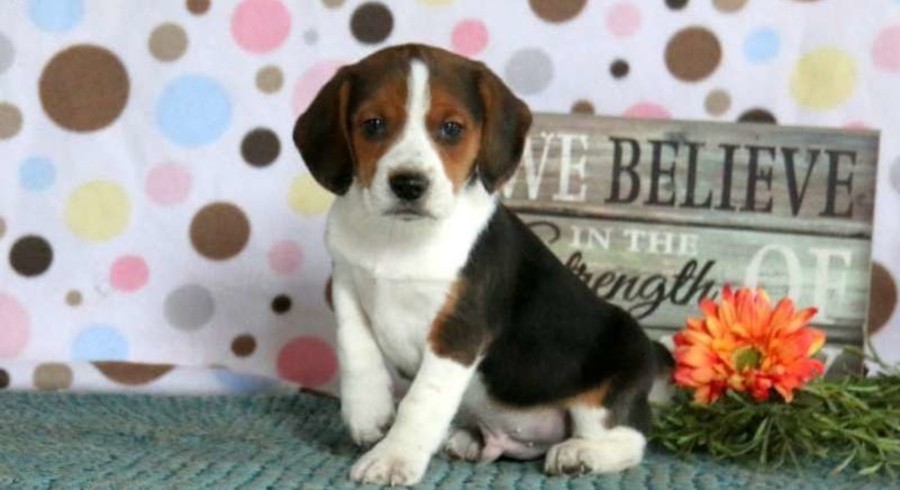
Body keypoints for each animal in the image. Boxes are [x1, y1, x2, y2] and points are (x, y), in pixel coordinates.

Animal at [292, 43, 664, 486]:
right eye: (374, 124)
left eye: (452, 128)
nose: (408, 184)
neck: (400, 237)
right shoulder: (347, 284)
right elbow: (355, 350)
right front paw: (368, 414)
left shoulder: (457, 332)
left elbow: (421, 401)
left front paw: (394, 457)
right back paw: (467, 439)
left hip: (611, 378)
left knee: (630, 441)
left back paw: (581, 453)